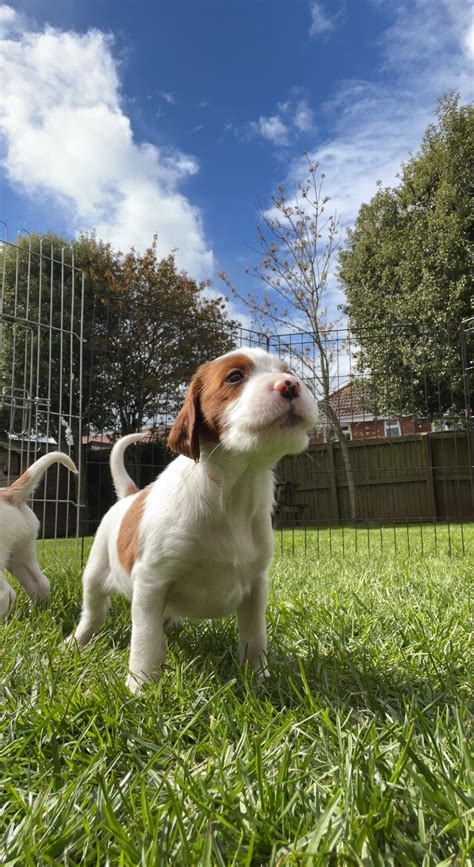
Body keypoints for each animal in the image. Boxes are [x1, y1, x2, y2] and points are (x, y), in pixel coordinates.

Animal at [68, 350, 318, 696]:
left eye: (288, 372)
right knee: (92, 614)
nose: (291, 385)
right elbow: (145, 640)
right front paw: (139, 688)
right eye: (235, 377)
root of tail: (129, 495)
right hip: (94, 574)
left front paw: (260, 681)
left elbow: (255, 638)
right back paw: (75, 643)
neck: (235, 487)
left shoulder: (256, 586)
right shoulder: (151, 581)